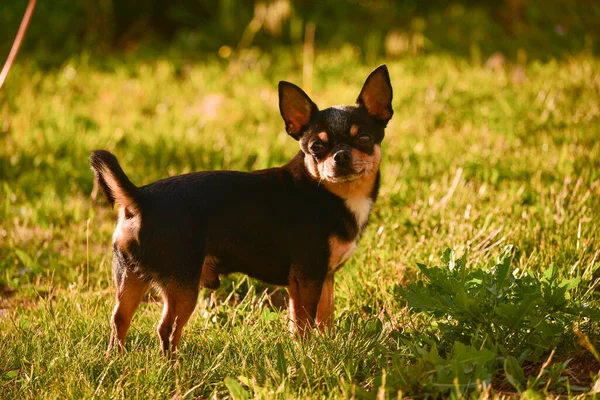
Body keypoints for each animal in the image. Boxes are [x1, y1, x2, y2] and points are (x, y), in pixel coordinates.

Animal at [91, 64, 394, 354]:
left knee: (119, 320)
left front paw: (327, 345)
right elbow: (304, 324)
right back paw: (174, 366)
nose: (340, 156)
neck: (328, 193)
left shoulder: (324, 278)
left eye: (365, 138)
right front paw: (310, 354)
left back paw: (116, 360)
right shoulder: (308, 277)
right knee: (166, 330)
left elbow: (323, 319)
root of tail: (141, 198)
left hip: (130, 278)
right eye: (317, 146)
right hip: (183, 284)